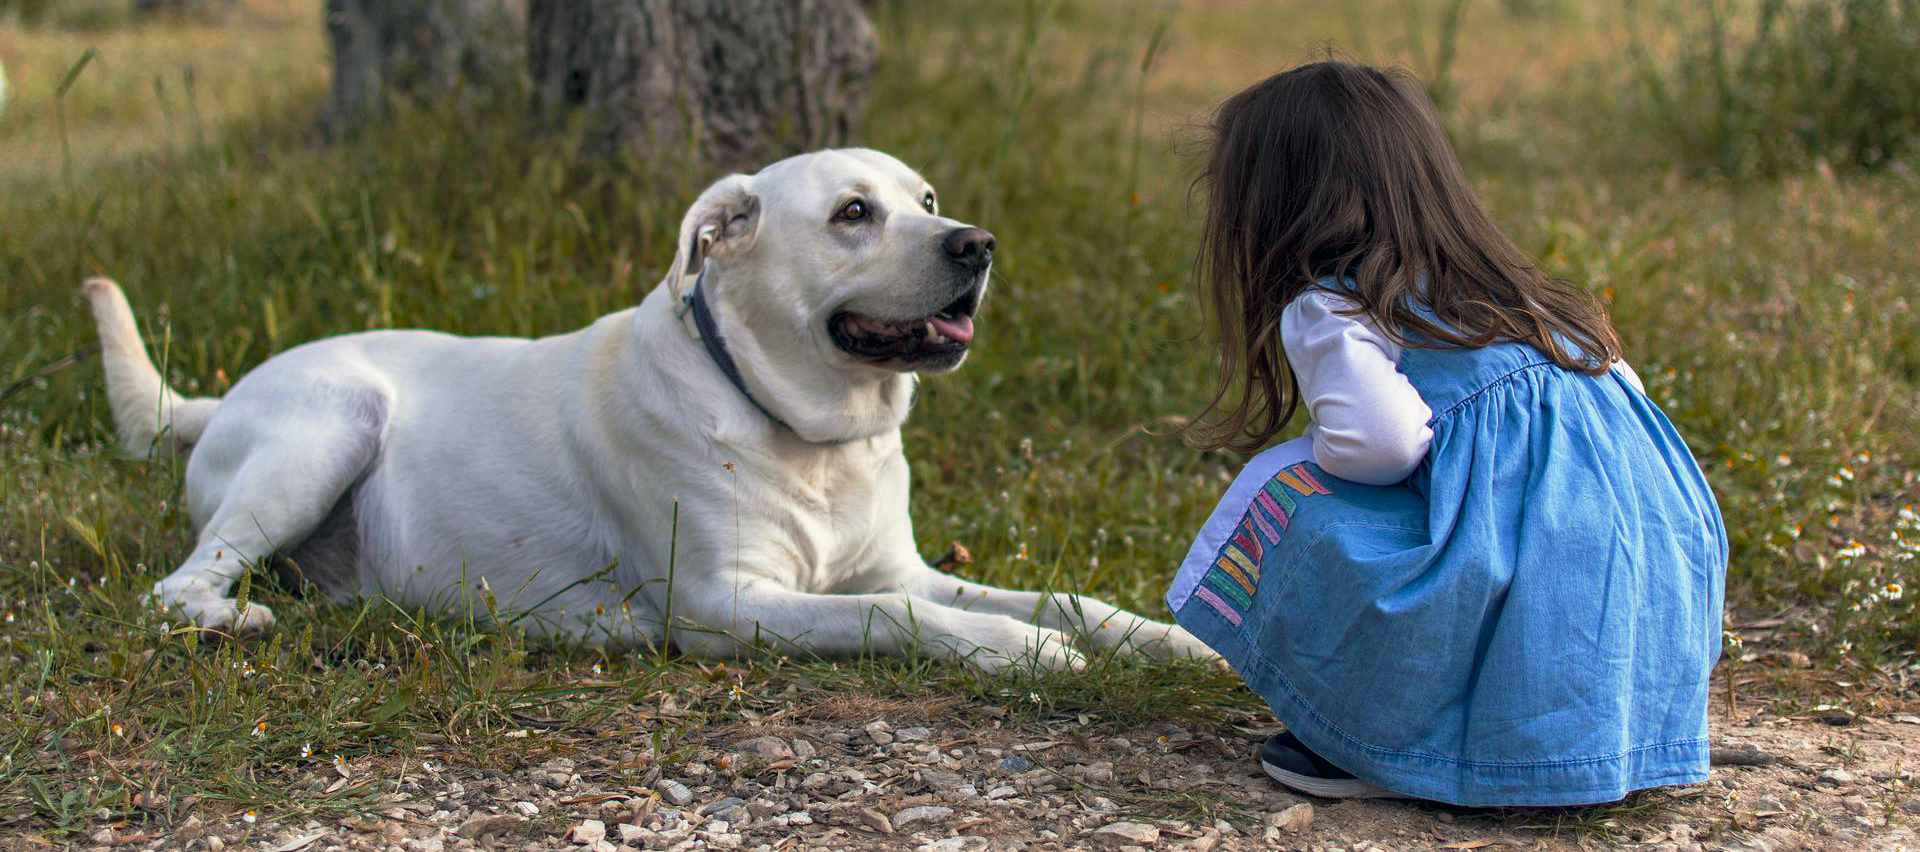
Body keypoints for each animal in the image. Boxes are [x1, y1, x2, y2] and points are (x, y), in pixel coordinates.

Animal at [90, 146, 1205, 667]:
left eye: (925, 201)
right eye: (853, 213)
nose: (976, 244)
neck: (812, 437)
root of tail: (219, 397)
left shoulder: (905, 566)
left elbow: (1058, 597)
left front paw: (1165, 640)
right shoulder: (728, 602)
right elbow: (893, 616)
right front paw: (1023, 653)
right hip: (328, 428)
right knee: (176, 587)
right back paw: (228, 620)